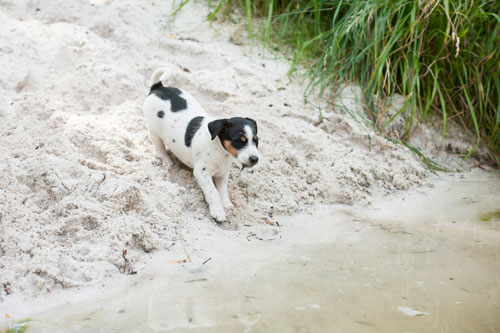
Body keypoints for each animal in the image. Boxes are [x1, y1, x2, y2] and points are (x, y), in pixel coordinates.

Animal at [141, 68, 258, 222]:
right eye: (239, 140)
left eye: (256, 140)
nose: (255, 159)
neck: (220, 151)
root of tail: (158, 87)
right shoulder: (202, 173)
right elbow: (213, 192)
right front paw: (218, 212)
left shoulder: (222, 174)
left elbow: (222, 190)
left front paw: (226, 204)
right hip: (153, 131)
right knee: (159, 146)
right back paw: (166, 160)